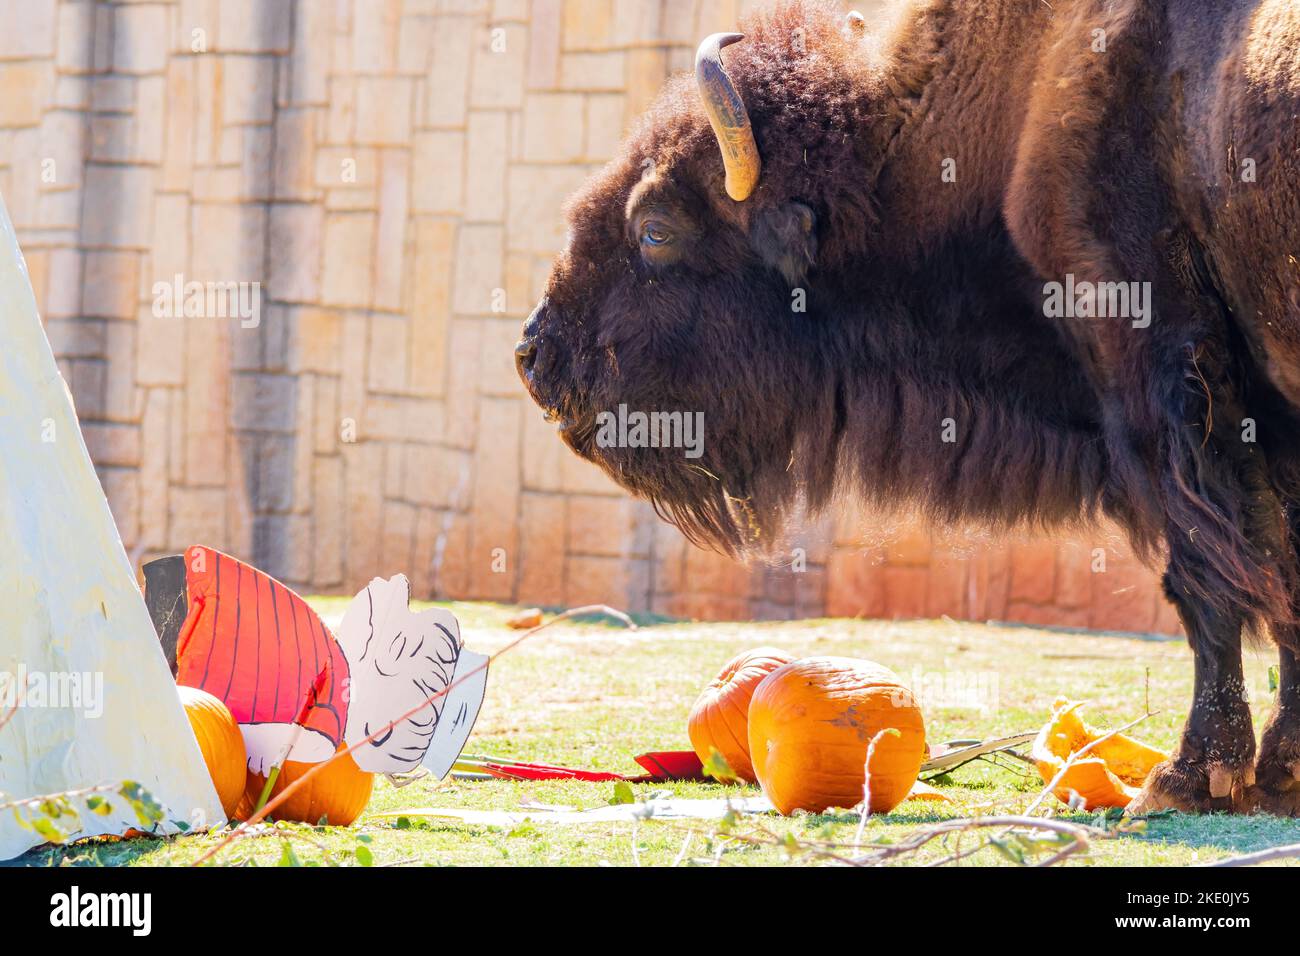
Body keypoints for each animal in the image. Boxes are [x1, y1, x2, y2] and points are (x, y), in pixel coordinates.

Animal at [512, 0, 1300, 816]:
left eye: (656, 228)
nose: (534, 355)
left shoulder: (1163, 392)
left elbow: (1207, 574)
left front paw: (1188, 778)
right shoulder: (1268, 415)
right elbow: (1282, 567)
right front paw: (1279, 773)